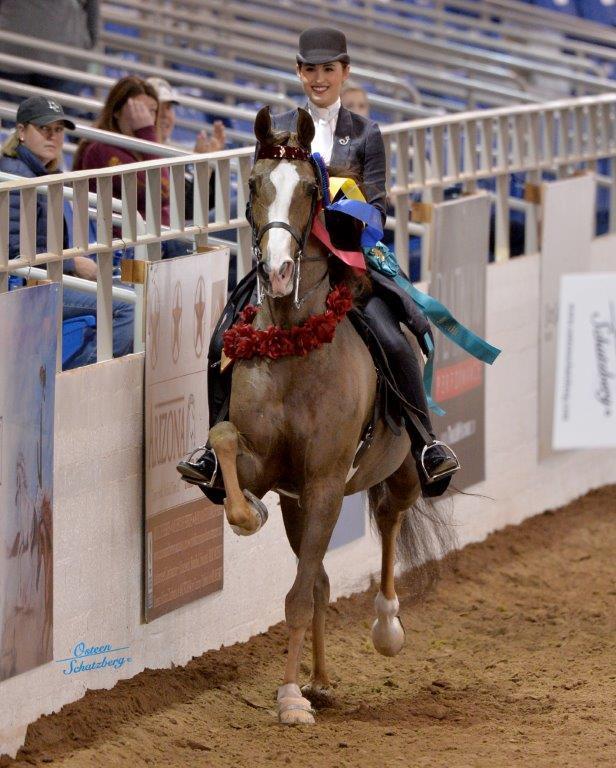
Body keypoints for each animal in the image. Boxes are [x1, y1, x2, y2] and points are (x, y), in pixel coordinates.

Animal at [208, 106, 450, 725]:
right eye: (253, 184)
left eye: (312, 191)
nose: (277, 273)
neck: (295, 346)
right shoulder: (277, 475)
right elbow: (224, 438)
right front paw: (245, 516)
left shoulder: (323, 482)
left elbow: (296, 596)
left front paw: (289, 701)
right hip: (301, 504)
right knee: (317, 577)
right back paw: (318, 680)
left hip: (401, 472)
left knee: (388, 519)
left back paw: (386, 626)